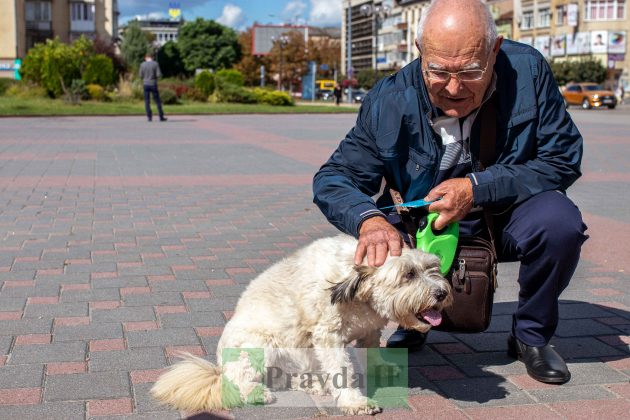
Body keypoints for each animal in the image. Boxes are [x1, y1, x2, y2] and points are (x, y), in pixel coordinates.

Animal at [151, 235, 452, 416]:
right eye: (408, 275)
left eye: (433, 269)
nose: (441, 293)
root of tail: (217, 367)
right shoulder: (329, 336)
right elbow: (342, 369)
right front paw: (354, 401)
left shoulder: (369, 329)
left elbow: (371, 351)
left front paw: (379, 367)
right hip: (260, 346)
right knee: (238, 381)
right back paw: (257, 392)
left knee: (287, 378)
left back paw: (315, 384)